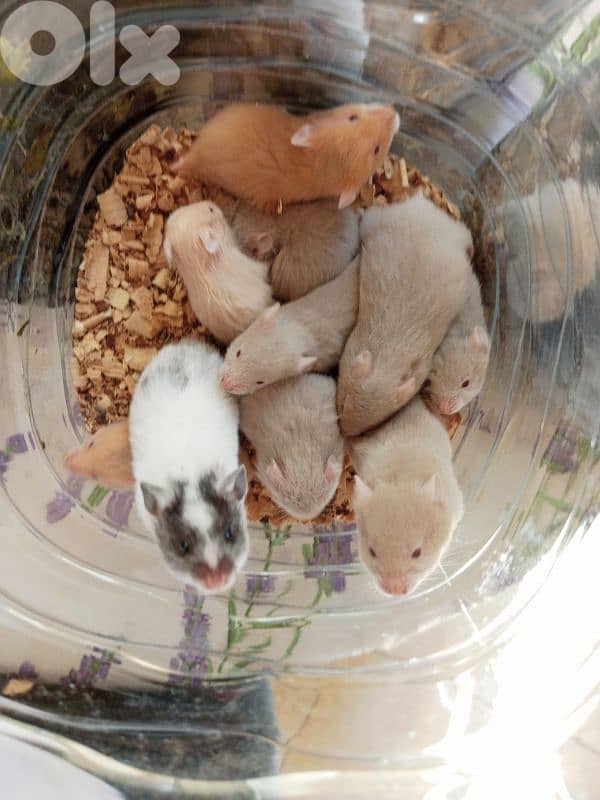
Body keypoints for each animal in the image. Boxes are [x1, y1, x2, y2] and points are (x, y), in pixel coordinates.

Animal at [338, 194, 473, 436]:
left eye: (373, 424)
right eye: (342, 404)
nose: (344, 433)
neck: (388, 358)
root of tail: (421, 205)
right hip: (376, 222)